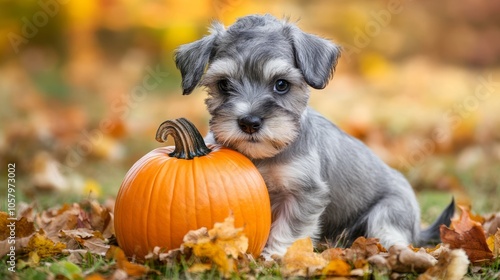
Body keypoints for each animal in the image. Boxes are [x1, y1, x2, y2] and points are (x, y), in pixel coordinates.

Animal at [174, 14, 456, 258]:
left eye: (281, 84)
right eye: (223, 84)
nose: (249, 123)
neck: (265, 156)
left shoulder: (304, 193)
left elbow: (288, 230)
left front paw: (275, 256)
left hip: (387, 213)